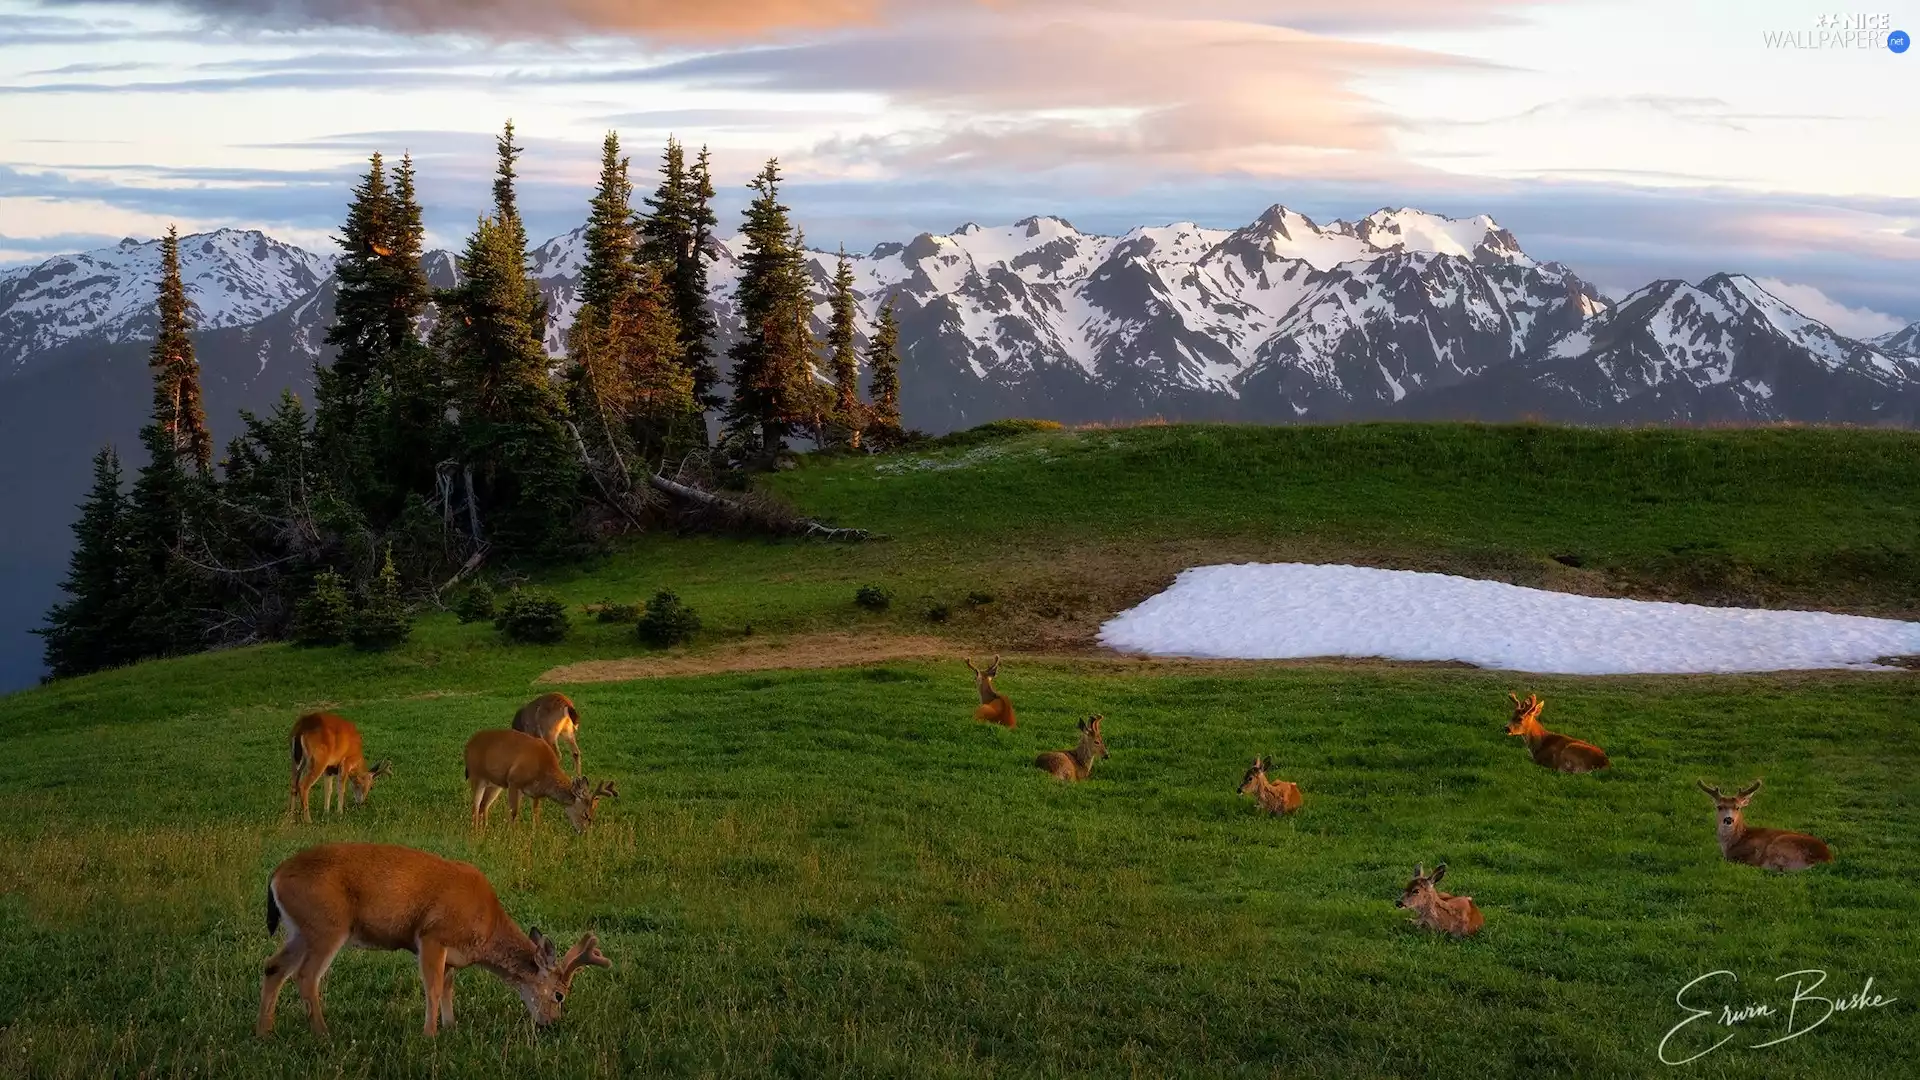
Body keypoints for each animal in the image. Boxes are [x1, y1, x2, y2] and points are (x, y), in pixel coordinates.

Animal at [257, 842, 612, 1038]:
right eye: (559, 995)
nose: (551, 1024)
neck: (485, 927)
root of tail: (275, 875)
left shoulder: (453, 954)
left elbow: (449, 988)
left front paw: (451, 1026)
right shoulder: (431, 936)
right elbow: (434, 988)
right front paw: (429, 1035)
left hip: (301, 929)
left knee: (273, 966)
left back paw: (265, 1032)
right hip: (327, 925)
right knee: (306, 975)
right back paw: (323, 1033)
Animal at [463, 729, 617, 834]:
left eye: (593, 815)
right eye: (586, 815)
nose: (584, 833)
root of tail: (468, 744)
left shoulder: (535, 793)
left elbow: (536, 813)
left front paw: (535, 832)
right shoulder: (514, 781)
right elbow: (514, 812)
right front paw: (513, 835)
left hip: (495, 784)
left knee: (484, 805)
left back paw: (485, 829)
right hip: (477, 775)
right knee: (475, 806)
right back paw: (475, 833)